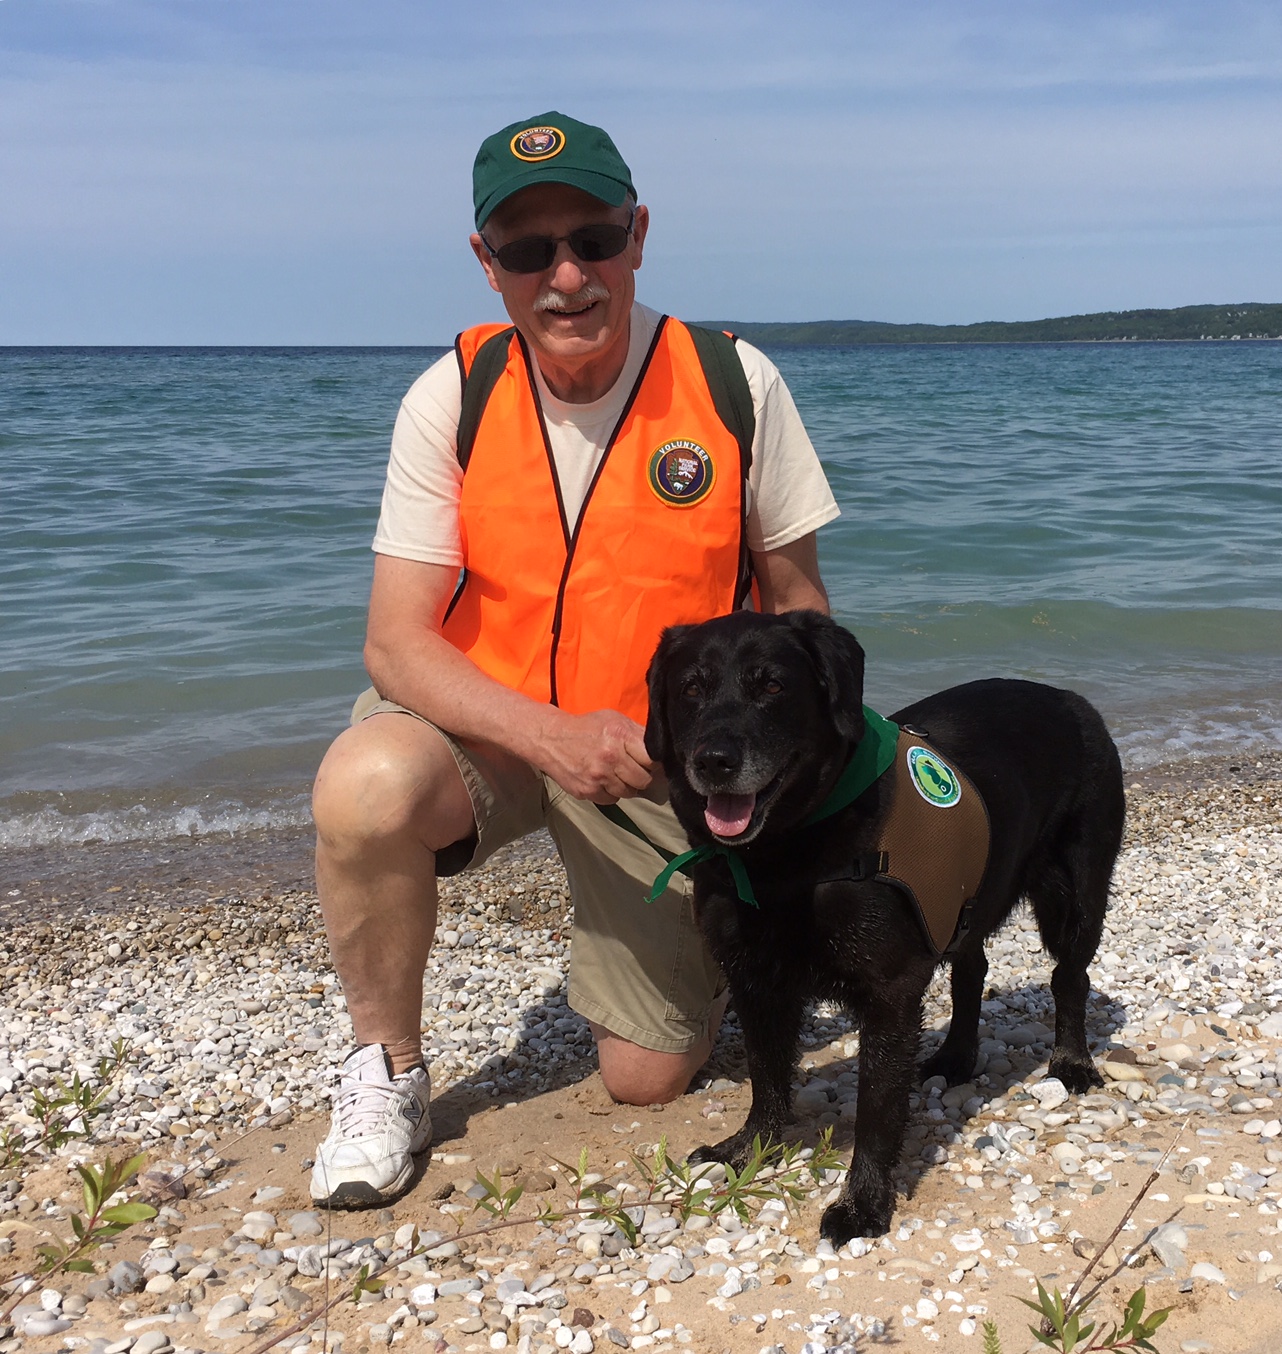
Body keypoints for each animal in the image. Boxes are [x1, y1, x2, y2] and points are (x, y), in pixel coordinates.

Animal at [647, 609, 1126, 1240]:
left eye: (772, 685)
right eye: (690, 689)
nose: (714, 761)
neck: (788, 858)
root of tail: (1073, 701)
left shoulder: (889, 994)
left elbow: (876, 1109)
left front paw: (863, 1204)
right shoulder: (755, 983)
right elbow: (766, 1077)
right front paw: (750, 1151)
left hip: (1076, 896)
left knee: (1069, 977)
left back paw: (1070, 1063)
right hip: (963, 903)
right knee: (972, 970)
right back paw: (956, 1057)